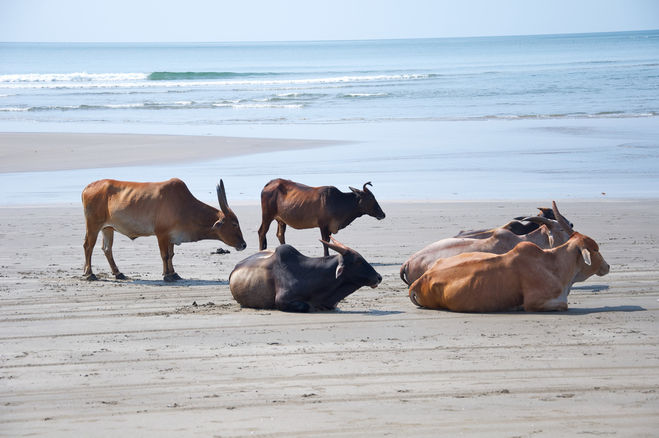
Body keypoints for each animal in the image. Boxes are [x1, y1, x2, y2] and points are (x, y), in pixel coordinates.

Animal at [81, 177, 246, 282]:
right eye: (234, 224)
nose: (244, 245)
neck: (184, 207)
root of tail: (87, 187)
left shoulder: (172, 237)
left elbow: (171, 255)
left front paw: (174, 274)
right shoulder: (161, 234)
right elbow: (165, 255)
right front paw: (167, 276)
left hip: (108, 228)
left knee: (107, 248)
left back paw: (118, 273)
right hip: (93, 225)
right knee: (88, 246)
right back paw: (89, 274)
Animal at [255, 178, 384, 256]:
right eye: (371, 198)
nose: (383, 214)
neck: (339, 201)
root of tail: (271, 183)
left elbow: (328, 241)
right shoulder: (323, 225)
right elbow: (325, 242)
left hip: (281, 220)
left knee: (280, 234)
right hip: (267, 216)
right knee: (262, 232)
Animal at [410, 231, 612, 314]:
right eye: (595, 249)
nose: (608, 266)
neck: (554, 265)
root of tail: (420, 280)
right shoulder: (536, 302)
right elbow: (563, 305)